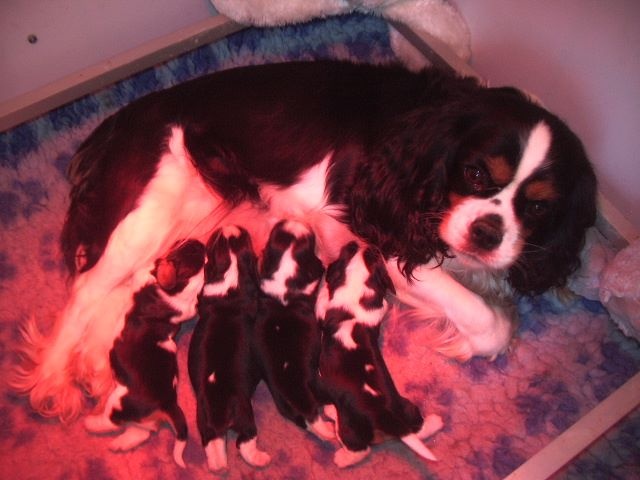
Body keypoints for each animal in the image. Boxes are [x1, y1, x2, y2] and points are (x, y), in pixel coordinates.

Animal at [84, 238, 205, 466]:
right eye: (193, 248)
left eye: (183, 245)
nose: (199, 241)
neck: (182, 289)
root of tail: (168, 403)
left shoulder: (142, 277)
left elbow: (144, 270)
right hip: (140, 418)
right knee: (142, 432)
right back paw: (120, 445)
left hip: (119, 400)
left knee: (113, 422)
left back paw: (91, 423)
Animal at [189, 226, 272, 472]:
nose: (230, 227)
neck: (231, 268)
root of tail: (220, 410)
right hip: (245, 414)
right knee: (244, 442)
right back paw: (261, 458)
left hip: (203, 421)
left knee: (213, 445)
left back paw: (219, 466)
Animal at [254, 219, 336, 440]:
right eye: (309, 239)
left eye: (277, 231)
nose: (293, 221)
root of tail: (303, 402)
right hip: (320, 386)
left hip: (285, 406)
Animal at [316, 242, 444, 466]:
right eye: (373, 254)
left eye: (348, 250)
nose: (357, 242)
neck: (358, 284)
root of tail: (388, 418)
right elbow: (382, 304)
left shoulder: (324, 310)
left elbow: (323, 299)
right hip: (407, 408)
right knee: (417, 429)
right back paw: (435, 422)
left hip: (350, 427)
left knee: (360, 449)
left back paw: (340, 453)